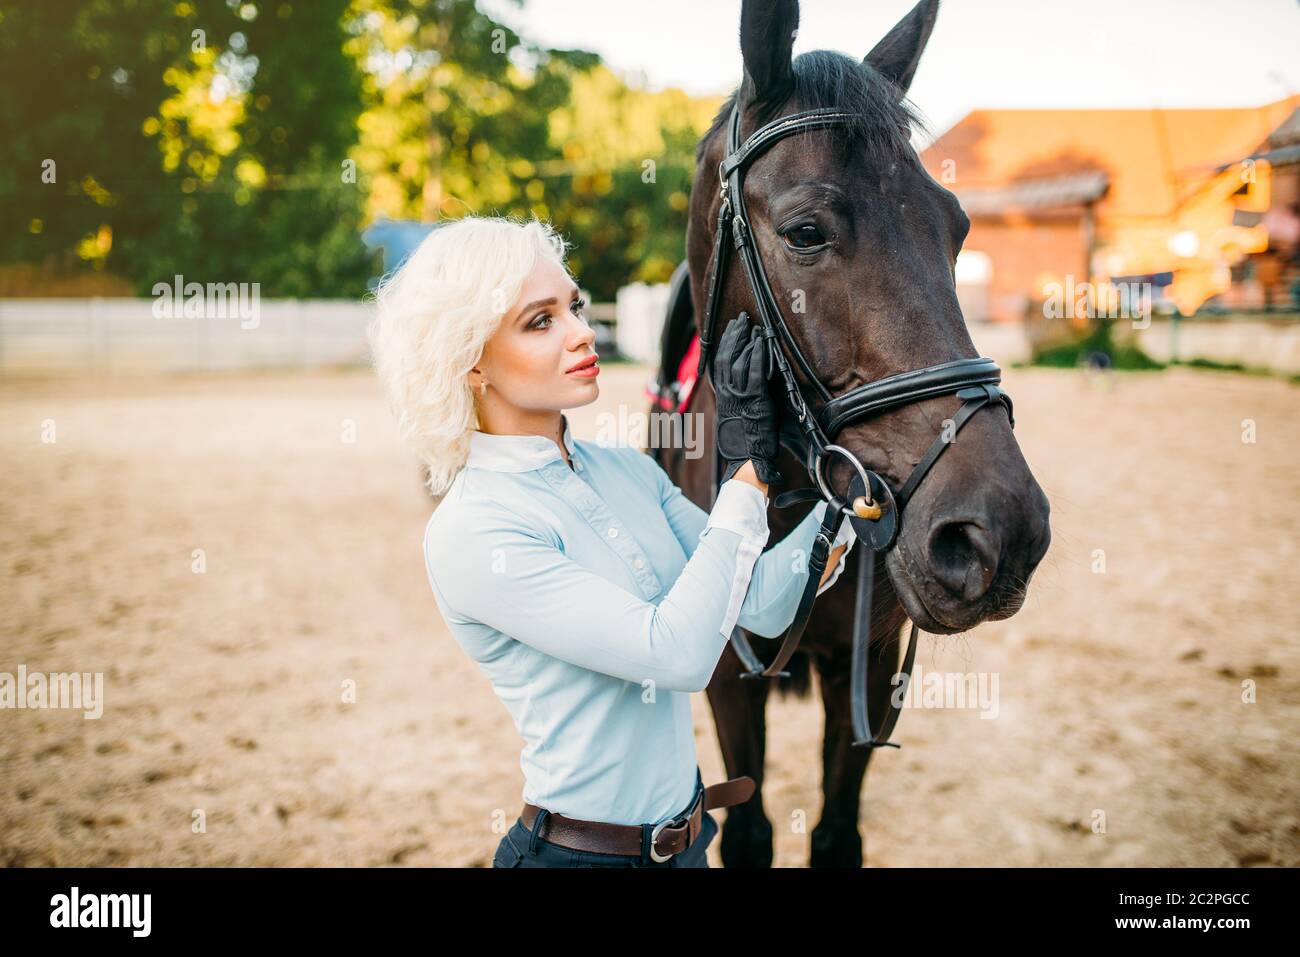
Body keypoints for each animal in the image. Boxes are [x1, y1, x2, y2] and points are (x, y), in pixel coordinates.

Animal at [647, 0, 1051, 867]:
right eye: (805, 232)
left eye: (957, 227)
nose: (1001, 531)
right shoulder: (729, 683)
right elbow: (750, 832)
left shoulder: (865, 668)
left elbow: (837, 833)